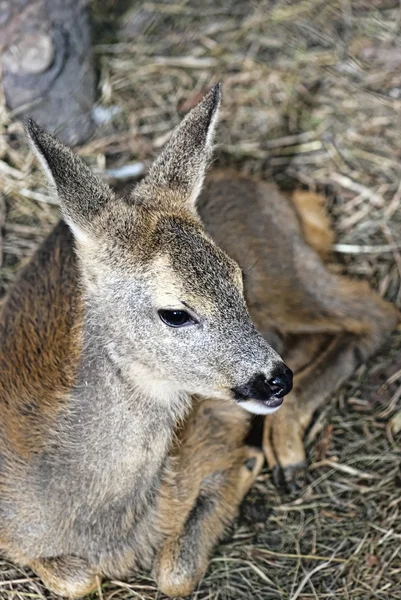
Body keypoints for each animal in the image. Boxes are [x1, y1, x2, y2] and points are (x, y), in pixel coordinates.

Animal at [0, 86, 290, 596]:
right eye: (175, 313)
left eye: (238, 280)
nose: (276, 380)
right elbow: (77, 579)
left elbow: (175, 573)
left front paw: (249, 463)